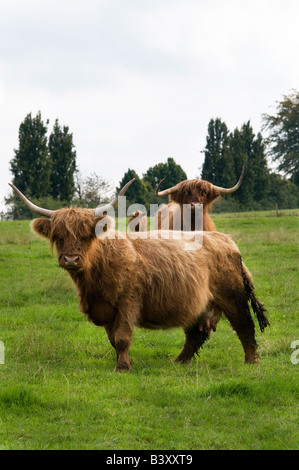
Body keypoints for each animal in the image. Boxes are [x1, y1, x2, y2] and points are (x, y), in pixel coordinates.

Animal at [9, 180, 268, 370]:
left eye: (85, 235)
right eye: (58, 236)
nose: (71, 259)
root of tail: (227, 241)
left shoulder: (129, 301)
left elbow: (122, 337)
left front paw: (123, 367)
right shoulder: (106, 307)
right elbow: (113, 340)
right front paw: (121, 361)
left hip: (232, 296)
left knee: (244, 325)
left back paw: (250, 361)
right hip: (201, 303)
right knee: (195, 335)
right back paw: (178, 362)